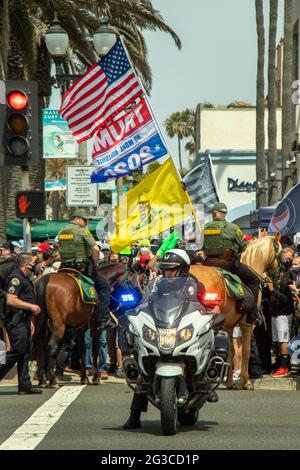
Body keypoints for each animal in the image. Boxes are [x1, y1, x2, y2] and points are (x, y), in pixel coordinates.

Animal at [191, 233, 282, 392]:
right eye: (281, 253)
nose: (277, 278)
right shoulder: (247, 325)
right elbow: (245, 351)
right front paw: (246, 381)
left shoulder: (229, 327)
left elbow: (231, 352)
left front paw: (229, 382)